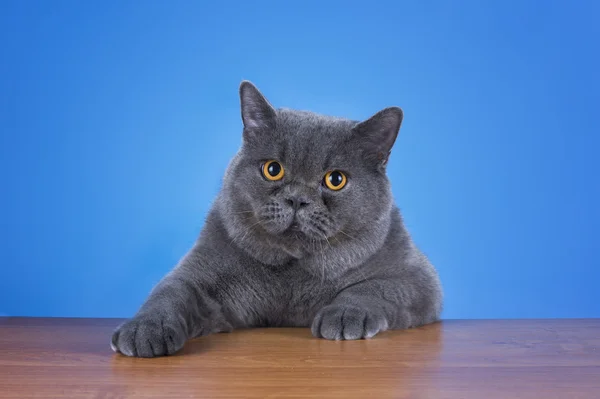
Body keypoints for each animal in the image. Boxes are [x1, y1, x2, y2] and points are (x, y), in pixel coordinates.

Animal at [110, 82, 442, 360]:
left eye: (335, 180)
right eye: (273, 169)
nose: (297, 199)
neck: (291, 276)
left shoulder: (418, 277)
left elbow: (374, 287)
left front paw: (344, 315)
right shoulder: (200, 274)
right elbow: (170, 291)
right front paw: (144, 329)